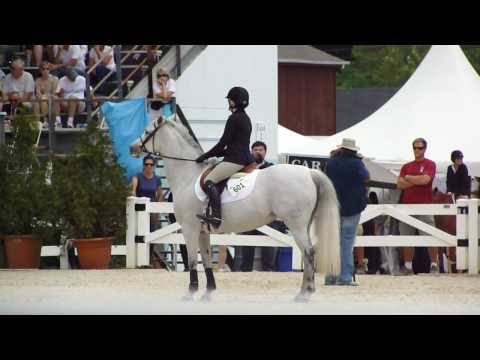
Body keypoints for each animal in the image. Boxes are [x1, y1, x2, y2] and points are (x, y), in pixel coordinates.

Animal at [130, 116, 342, 300]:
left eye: (147, 131)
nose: (132, 148)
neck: (188, 176)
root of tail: (309, 172)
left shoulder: (190, 228)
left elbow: (192, 260)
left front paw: (191, 293)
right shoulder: (202, 230)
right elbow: (206, 259)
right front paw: (209, 292)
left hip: (296, 225)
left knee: (308, 252)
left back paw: (305, 294)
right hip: (304, 224)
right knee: (308, 253)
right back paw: (304, 291)